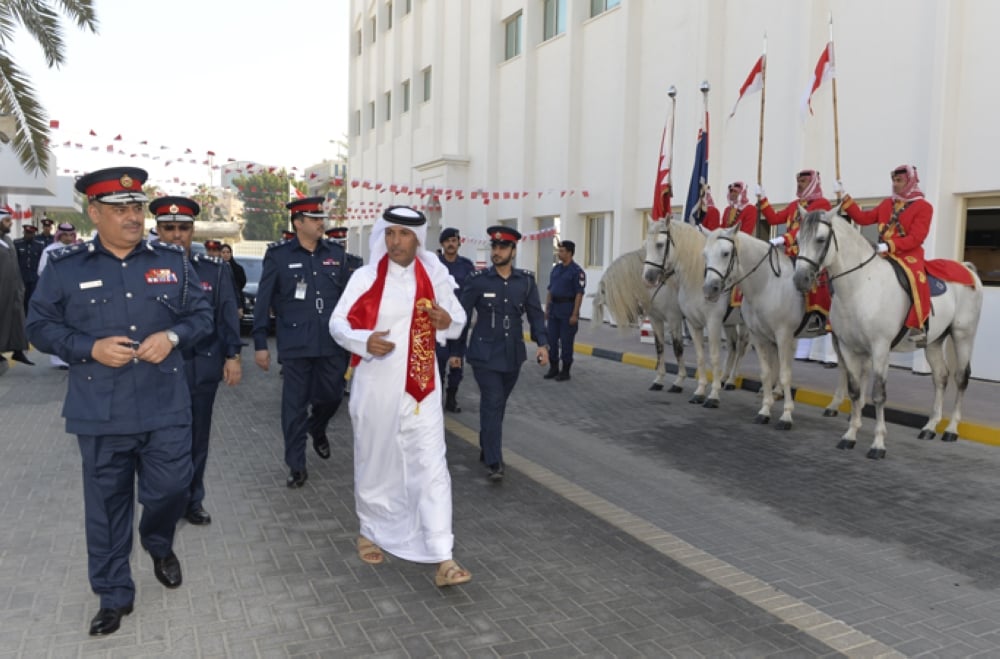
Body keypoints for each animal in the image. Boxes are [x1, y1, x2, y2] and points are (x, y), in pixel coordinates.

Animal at [592, 248, 688, 392]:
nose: (631, 317)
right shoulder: (656, 319)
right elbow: (659, 348)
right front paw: (659, 380)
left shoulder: (674, 319)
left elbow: (678, 349)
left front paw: (679, 381)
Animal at [644, 220, 748, 408]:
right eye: (645, 245)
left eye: (660, 244)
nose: (648, 276)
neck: (696, 278)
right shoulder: (692, 323)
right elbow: (699, 357)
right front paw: (699, 392)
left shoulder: (711, 322)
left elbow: (713, 356)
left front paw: (713, 395)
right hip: (729, 323)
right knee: (733, 346)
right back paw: (724, 379)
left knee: (742, 347)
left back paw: (733, 381)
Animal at [700, 227, 848, 434]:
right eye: (705, 255)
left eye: (726, 253)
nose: (709, 289)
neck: (766, 285)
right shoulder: (760, 336)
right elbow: (766, 373)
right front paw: (765, 410)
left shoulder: (783, 335)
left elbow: (785, 375)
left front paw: (786, 416)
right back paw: (834, 406)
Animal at [792, 210, 988, 458]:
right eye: (798, 240)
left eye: (820, 239)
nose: (800, 279)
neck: (860, 286)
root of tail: (967, 268)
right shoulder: (849, 347)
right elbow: (855, 391)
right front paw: (850, 434)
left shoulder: (879, 348)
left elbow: (878, 394)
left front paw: (878, 443)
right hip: (934, 341)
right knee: (940, 377)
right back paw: (930, 426)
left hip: (963, 335)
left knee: (961, 378)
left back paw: (951, 429)